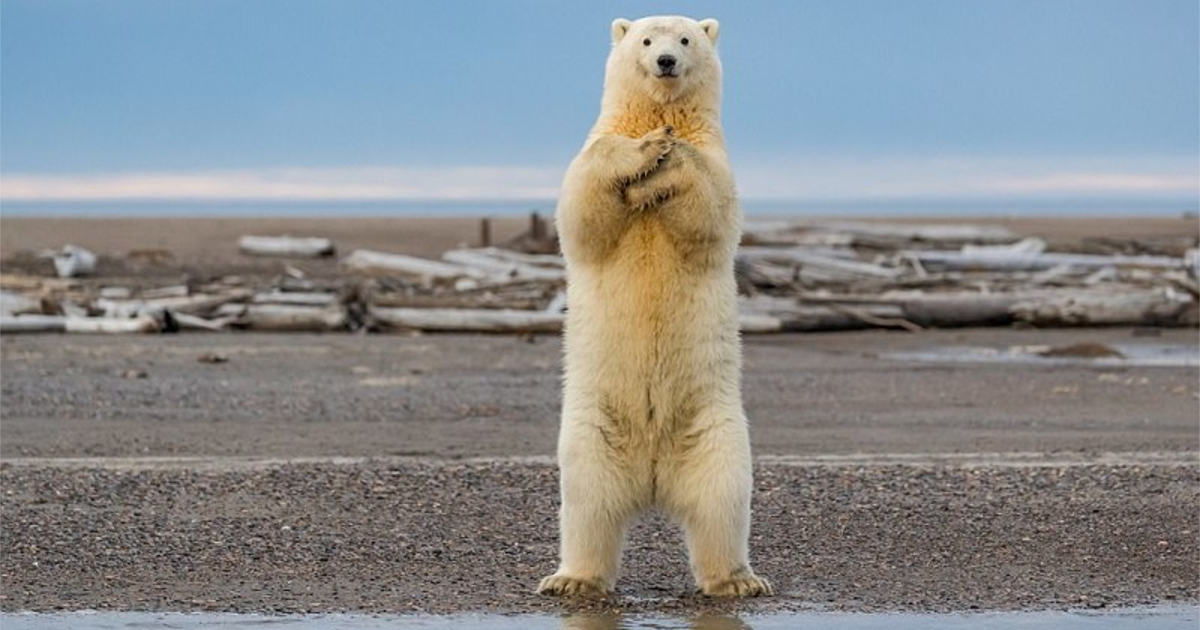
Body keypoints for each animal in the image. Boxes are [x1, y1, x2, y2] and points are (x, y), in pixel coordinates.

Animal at [540, 13, 772, 595]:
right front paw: (648, 149)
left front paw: (668, 156)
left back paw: (738, 580)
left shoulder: (720, 163)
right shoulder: (596, 144)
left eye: (685, 39)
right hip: (591, 431)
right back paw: (572, 579)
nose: (666, 61)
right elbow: (583, 208)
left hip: (716, 430)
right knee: (587, 505)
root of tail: (652, 479)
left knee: (722, 502)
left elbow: (709, 207)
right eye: (646, 40)